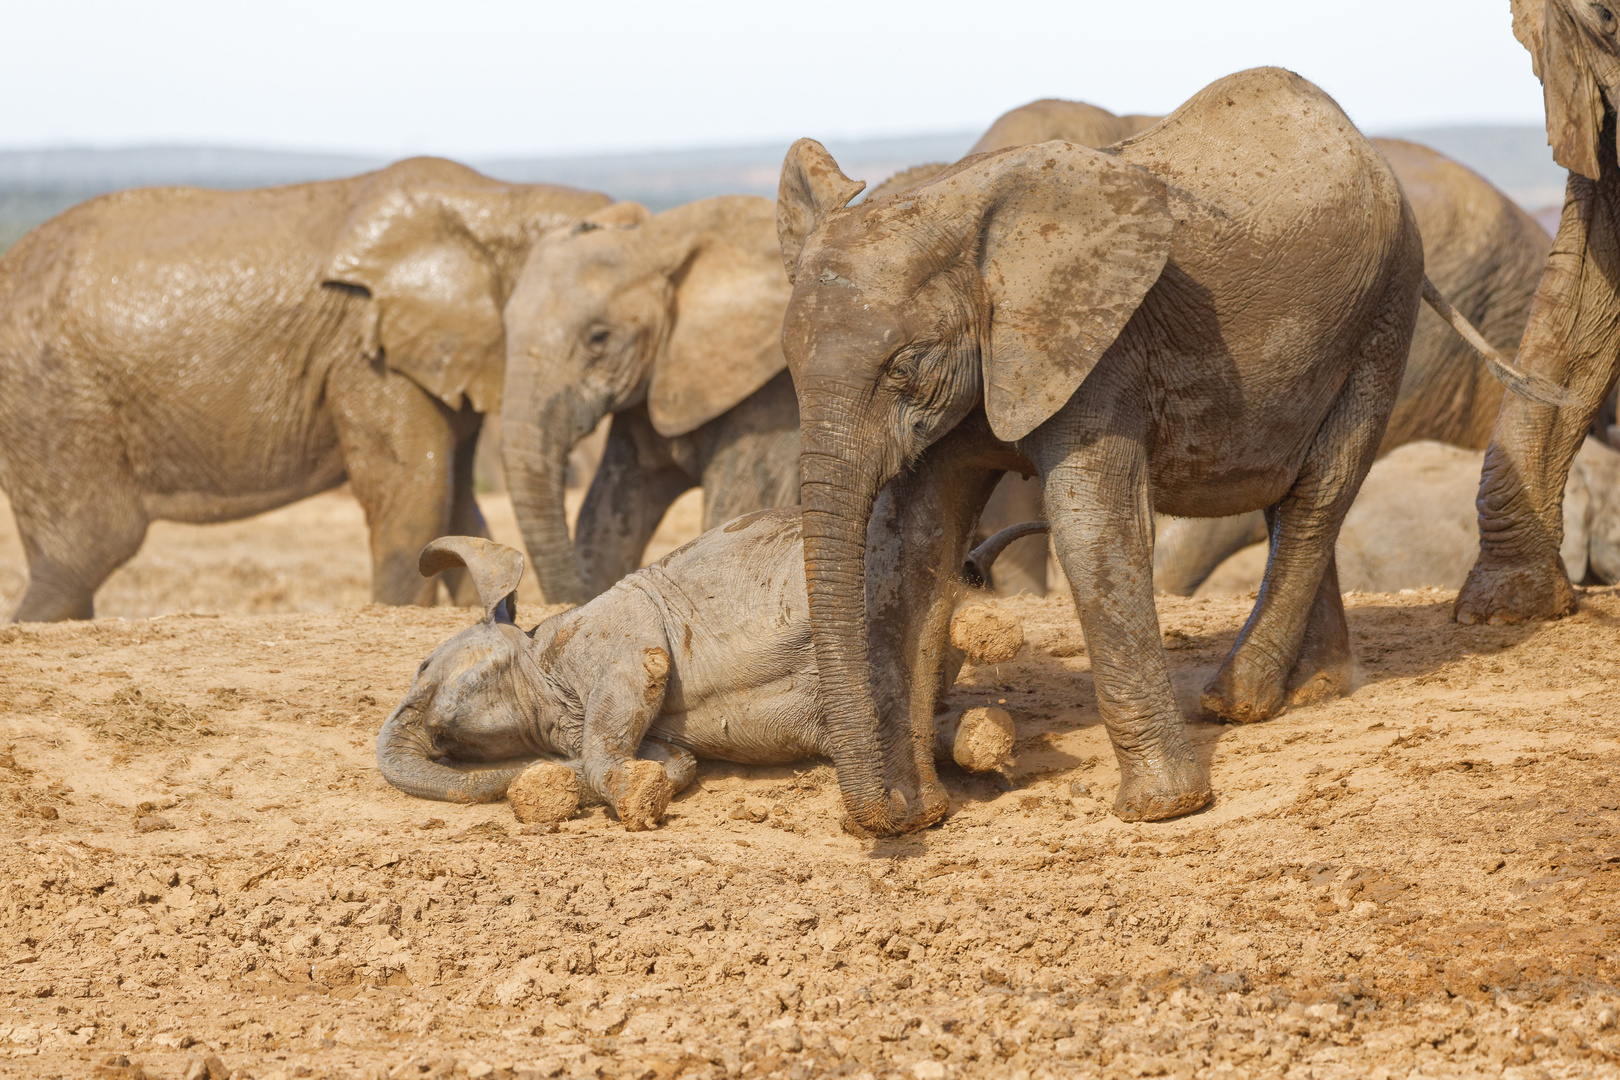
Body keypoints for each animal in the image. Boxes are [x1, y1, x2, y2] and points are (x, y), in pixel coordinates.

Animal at [0, 156, 609, 621]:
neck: (500, 199)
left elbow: (456, 504)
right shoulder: (367, 355)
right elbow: (415, 494)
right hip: (54, 397)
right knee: (88, 553)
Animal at [375, 511, 1023, 835]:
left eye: (424, 666)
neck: (540, 655)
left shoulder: (616, 626)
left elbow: (642, 674)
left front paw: (630, 797)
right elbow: (675, 762)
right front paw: (633, 783)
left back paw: (989, 628)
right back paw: (983, 737)